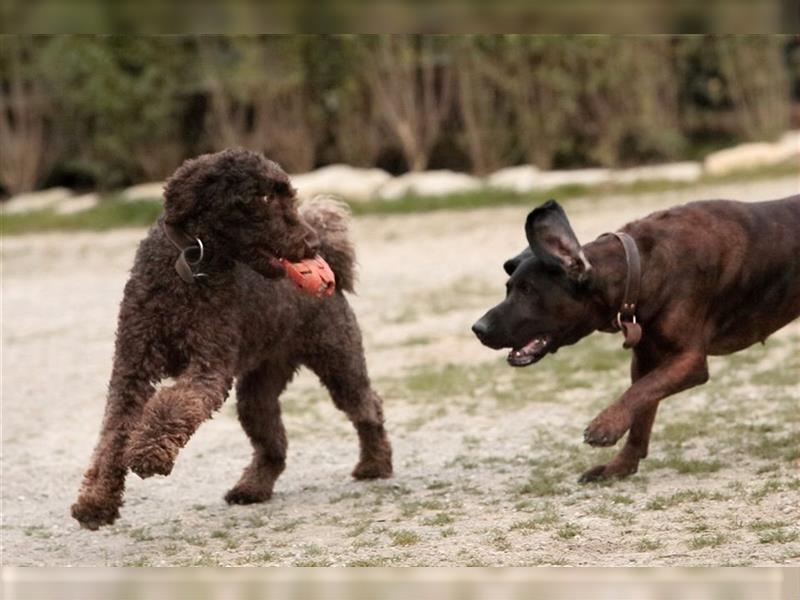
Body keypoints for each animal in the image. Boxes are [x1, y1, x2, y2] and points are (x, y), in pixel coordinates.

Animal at [73, 149, 392, 528]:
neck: (191, 262)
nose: (311, 244)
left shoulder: (209, 366)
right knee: (273, 445)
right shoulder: (132, 369)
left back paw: (375, 463)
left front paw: (149, 453)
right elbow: (113, 434)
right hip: (258, 390)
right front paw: (96, 503)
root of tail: (335, 269)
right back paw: (251, 488)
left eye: (289, 195)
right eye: (264, 197)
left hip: (339, 361)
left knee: (368, 407)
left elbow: (173, 404)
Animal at [476, 197, 800, 482]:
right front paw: (620, 466)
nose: (477, 328)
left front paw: (605, 425)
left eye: (528, 290)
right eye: (509, 288)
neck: (639, 268)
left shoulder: (690, 360)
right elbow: (643, 406)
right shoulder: (646, 358)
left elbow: (639, 392)